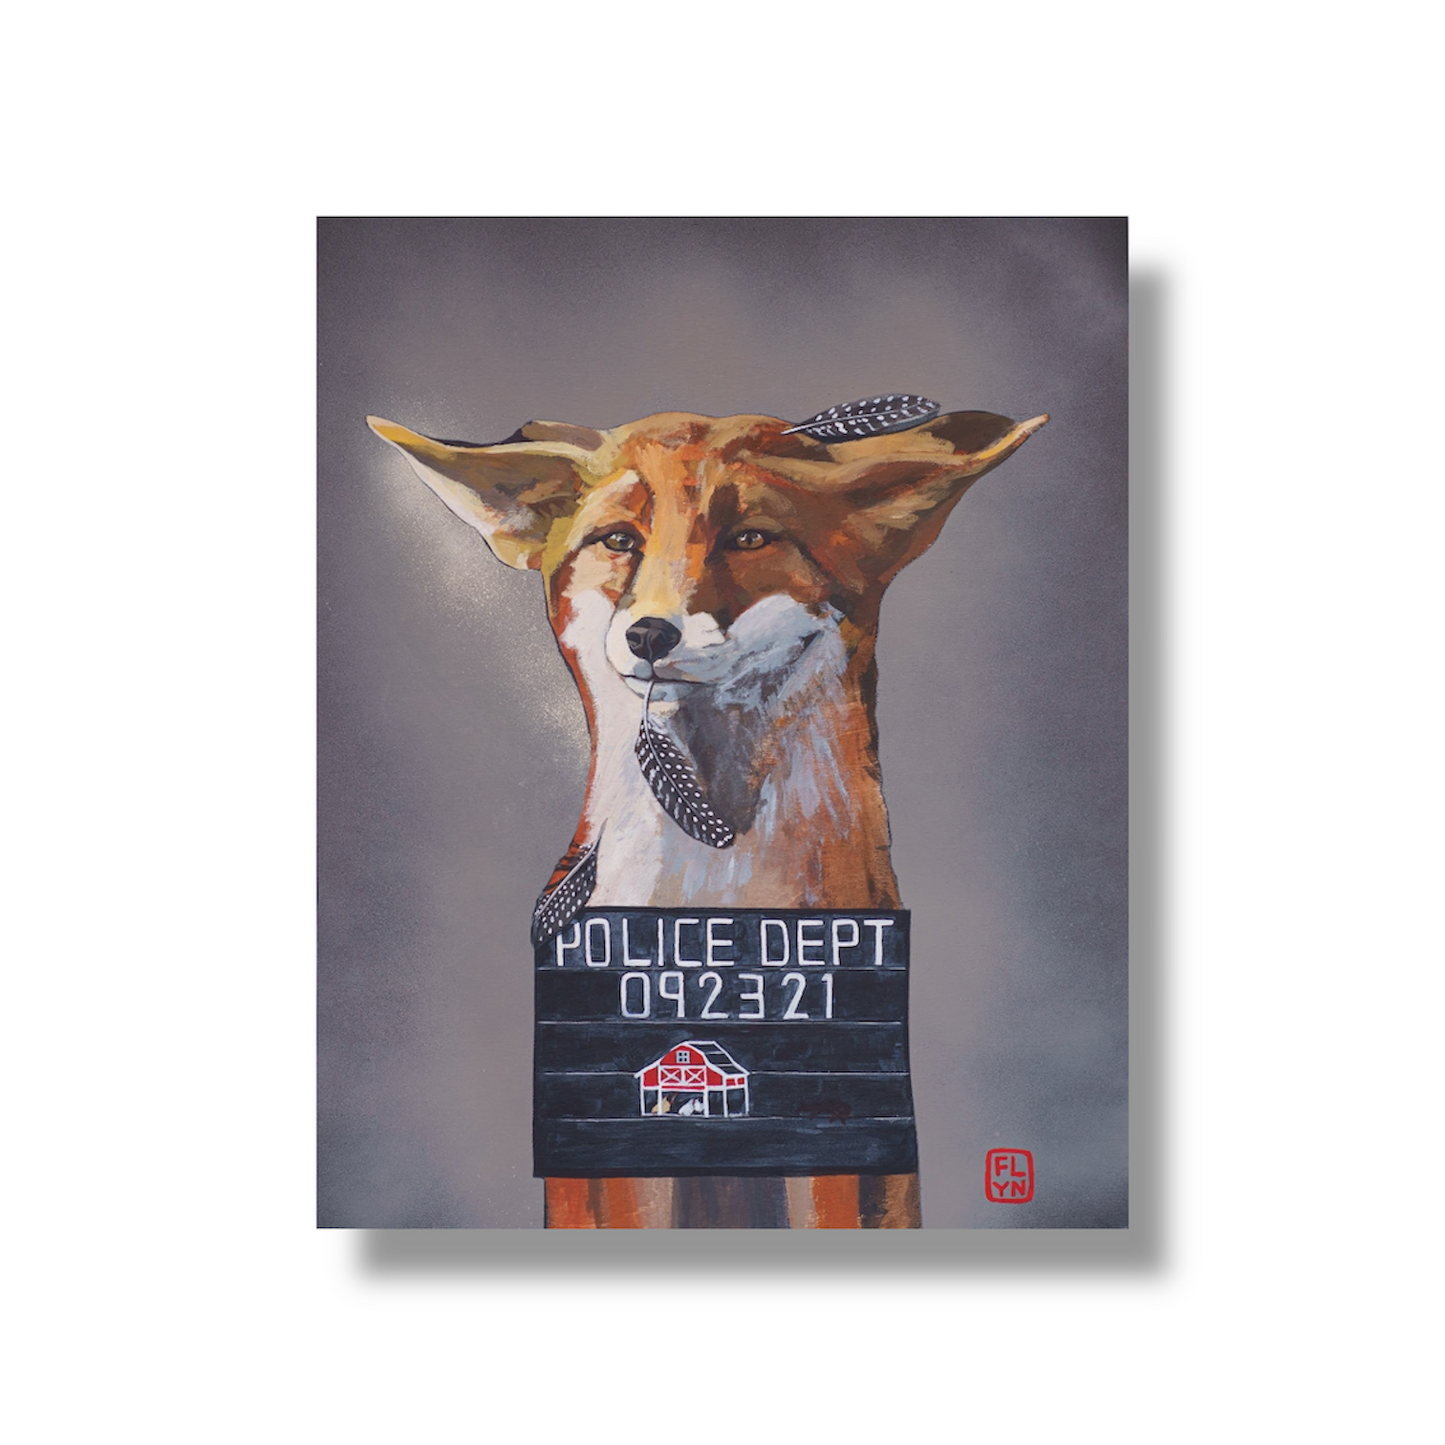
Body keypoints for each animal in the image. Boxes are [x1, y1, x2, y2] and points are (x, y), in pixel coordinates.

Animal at [368, 399, 1047, 1228]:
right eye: (619, 540)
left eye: (748, 537)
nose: (649, 633)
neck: (713, 895)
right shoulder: (622, 1141)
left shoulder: (834, 1123)